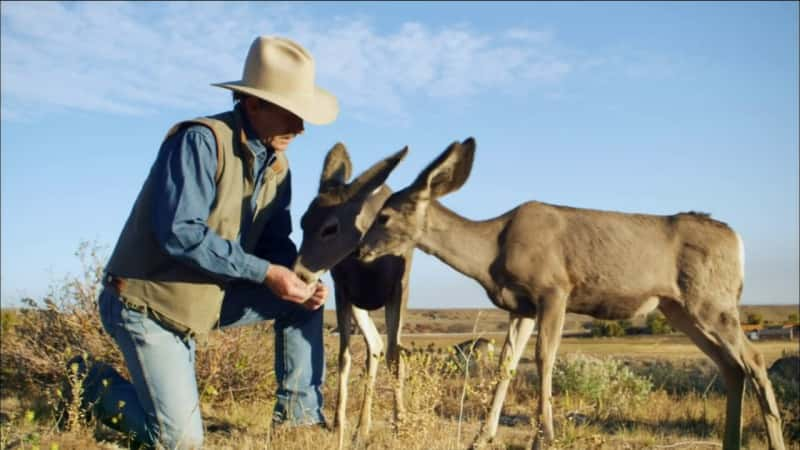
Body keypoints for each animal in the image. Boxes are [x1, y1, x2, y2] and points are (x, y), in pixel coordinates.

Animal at [294, 142, 416, 448]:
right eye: (302, 222)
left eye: (330, 228)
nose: (300, 274)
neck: (368, 265)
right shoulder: (343, 290)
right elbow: (344, 356)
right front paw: (339, 426)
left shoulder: (399, 287)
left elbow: (395, 355)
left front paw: (401, 426)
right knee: (373, 345)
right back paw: (361, 428)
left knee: (383, 347)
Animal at [362, 138, 788, 450]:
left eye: (384, 216)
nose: (361, 251)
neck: (492, 251)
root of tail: (737, 240)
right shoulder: (521, 306)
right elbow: (506, 364)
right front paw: (481, 437)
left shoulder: (555, 290)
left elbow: (544, 358)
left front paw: (544, 437)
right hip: (678, 307)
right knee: (732, 366)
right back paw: (731, 443)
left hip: (712, 300)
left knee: (753, 359)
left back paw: (775, 441)